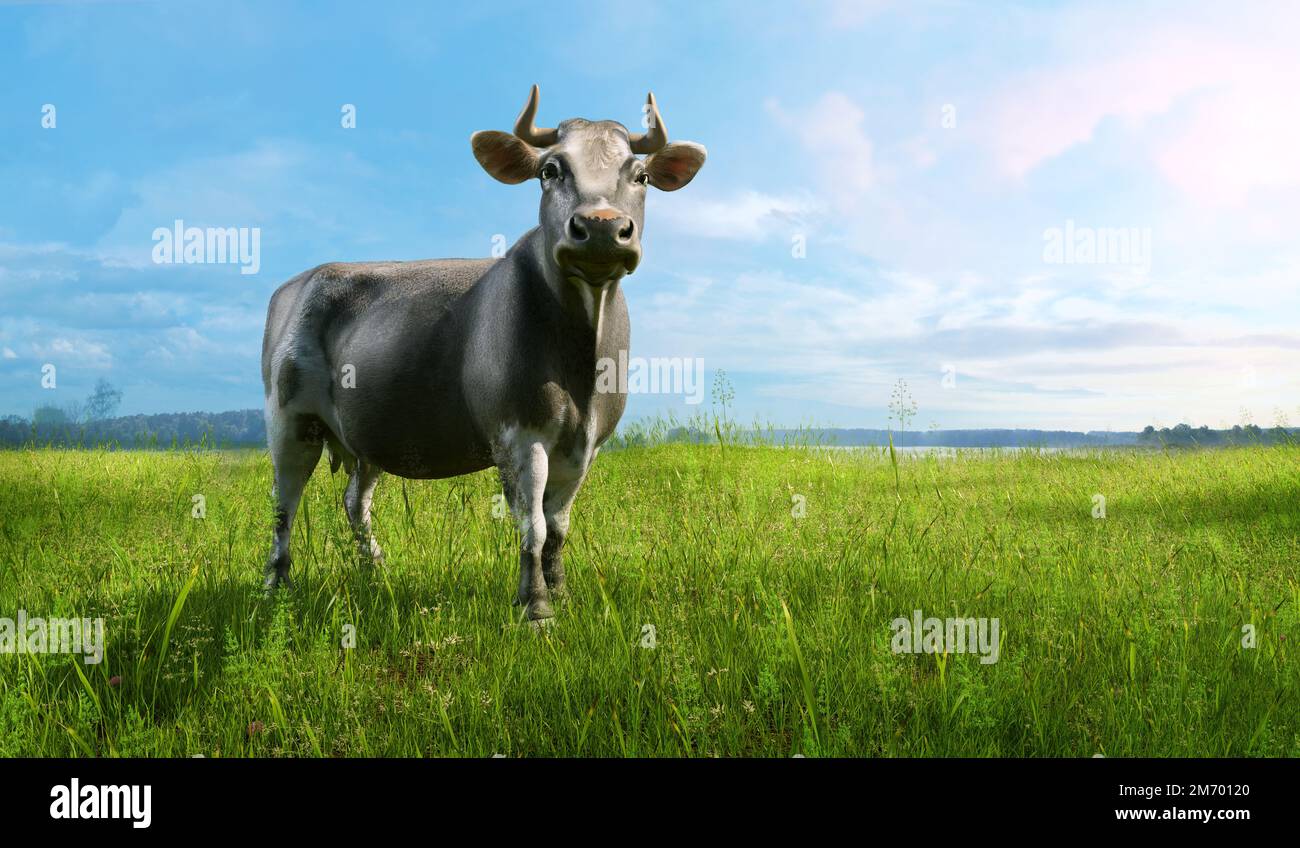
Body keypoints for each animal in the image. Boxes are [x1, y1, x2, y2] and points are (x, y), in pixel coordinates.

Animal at [260, 86, 706, 622]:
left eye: (640, 176)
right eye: (550, 170)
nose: (601, 227)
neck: (581, 363)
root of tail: (300, 280)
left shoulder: (588, 443)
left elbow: (558, 527)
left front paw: (560, 593)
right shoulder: (518, 433)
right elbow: (533, 526)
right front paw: (536, 607)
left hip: (364, 436)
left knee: (354, 502)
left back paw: (376, 570)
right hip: (289, 417)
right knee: (283, 503)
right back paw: (277, 586)